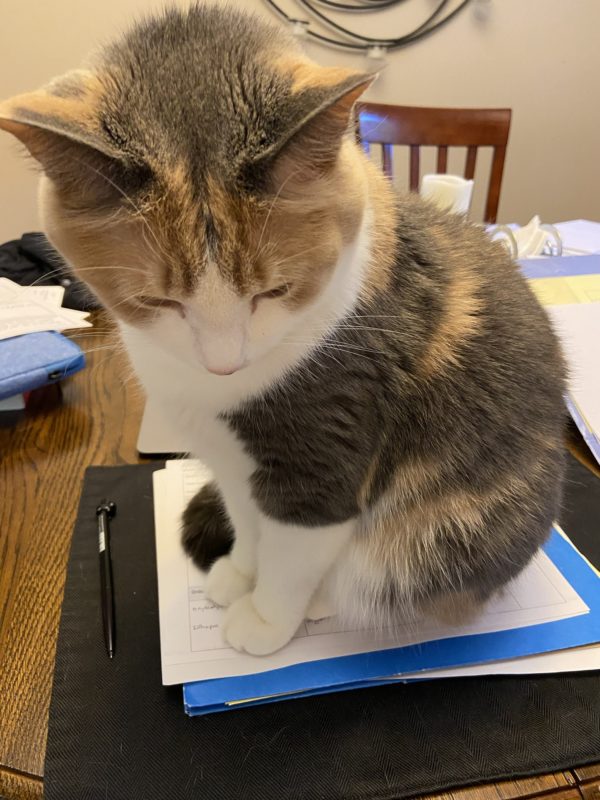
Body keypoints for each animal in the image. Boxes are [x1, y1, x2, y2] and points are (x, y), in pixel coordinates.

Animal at [0, 4, 564, 656]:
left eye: (273, 291)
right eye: (157, 301)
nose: (224, 364)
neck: (213, 393)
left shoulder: (326, 455)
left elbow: (294, 556)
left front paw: (266, 618)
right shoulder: (233, 463)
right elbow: (249, 527)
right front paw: (240, 574)